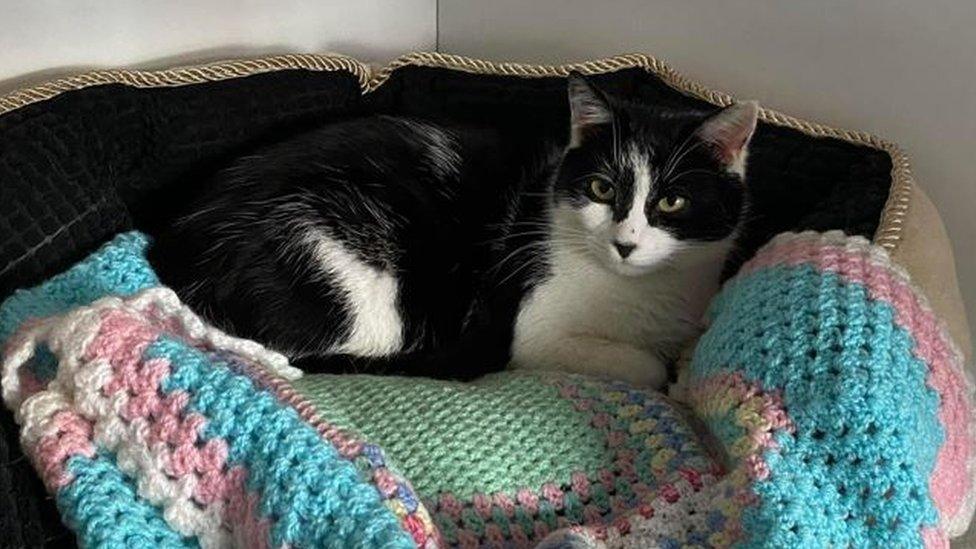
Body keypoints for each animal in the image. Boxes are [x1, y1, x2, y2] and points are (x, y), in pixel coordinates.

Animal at [149, 73, 760, 388]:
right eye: (602, 189)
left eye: (672, 201)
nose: (625, 243)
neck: (637, 294)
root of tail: (179, 249)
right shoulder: (534, 328)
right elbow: (643, 366)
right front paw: (661, 370)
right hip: (348, 271)